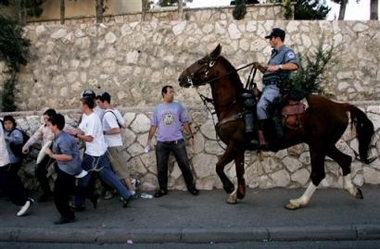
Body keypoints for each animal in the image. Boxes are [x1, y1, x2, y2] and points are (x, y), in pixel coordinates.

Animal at [178, 43, 374, 209]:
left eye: (202, 62)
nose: (181, 78)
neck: (234, 105)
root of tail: (340, 106)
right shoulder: (239, 148)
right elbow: (240, 172)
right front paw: (237, 194)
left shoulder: (235, 144)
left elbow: (218, 166)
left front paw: (228, 187)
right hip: (326, 144)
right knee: (345, 160)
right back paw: (353, 190)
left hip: (318, 145)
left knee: (318, 173)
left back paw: (298, 201)